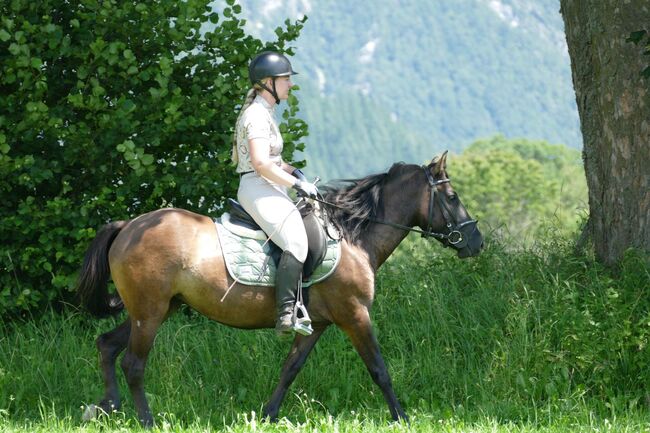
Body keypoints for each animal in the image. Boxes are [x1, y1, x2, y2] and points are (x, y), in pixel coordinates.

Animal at [76, 152, 480, 426]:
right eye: (453, 197)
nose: (476, 241)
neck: (352, 236)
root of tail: (128, 226)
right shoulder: (355, 314)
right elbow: (379, 368)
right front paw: (401, 418)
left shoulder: (316, 324)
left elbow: (290, 369)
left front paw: (268, 415)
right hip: (151, 312)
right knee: (133, 363)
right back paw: (146, 421)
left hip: (155, 309)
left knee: (107, 345)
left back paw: (105, 407)